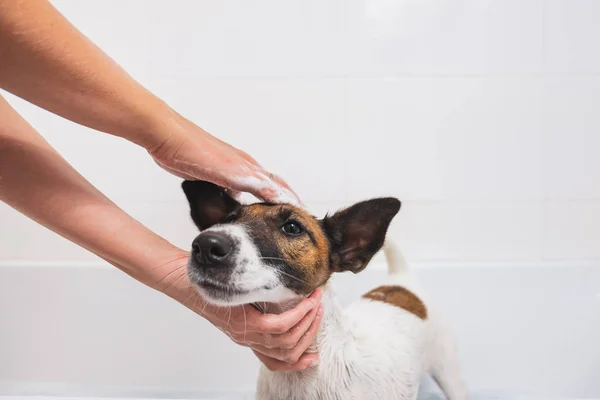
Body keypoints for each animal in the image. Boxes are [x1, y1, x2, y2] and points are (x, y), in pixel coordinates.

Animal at [183, 180, 468, 400]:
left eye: (292, 228)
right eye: (229, 220)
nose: (206, 245)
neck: (302, 374)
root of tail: (400, 279)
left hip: (450, 374)